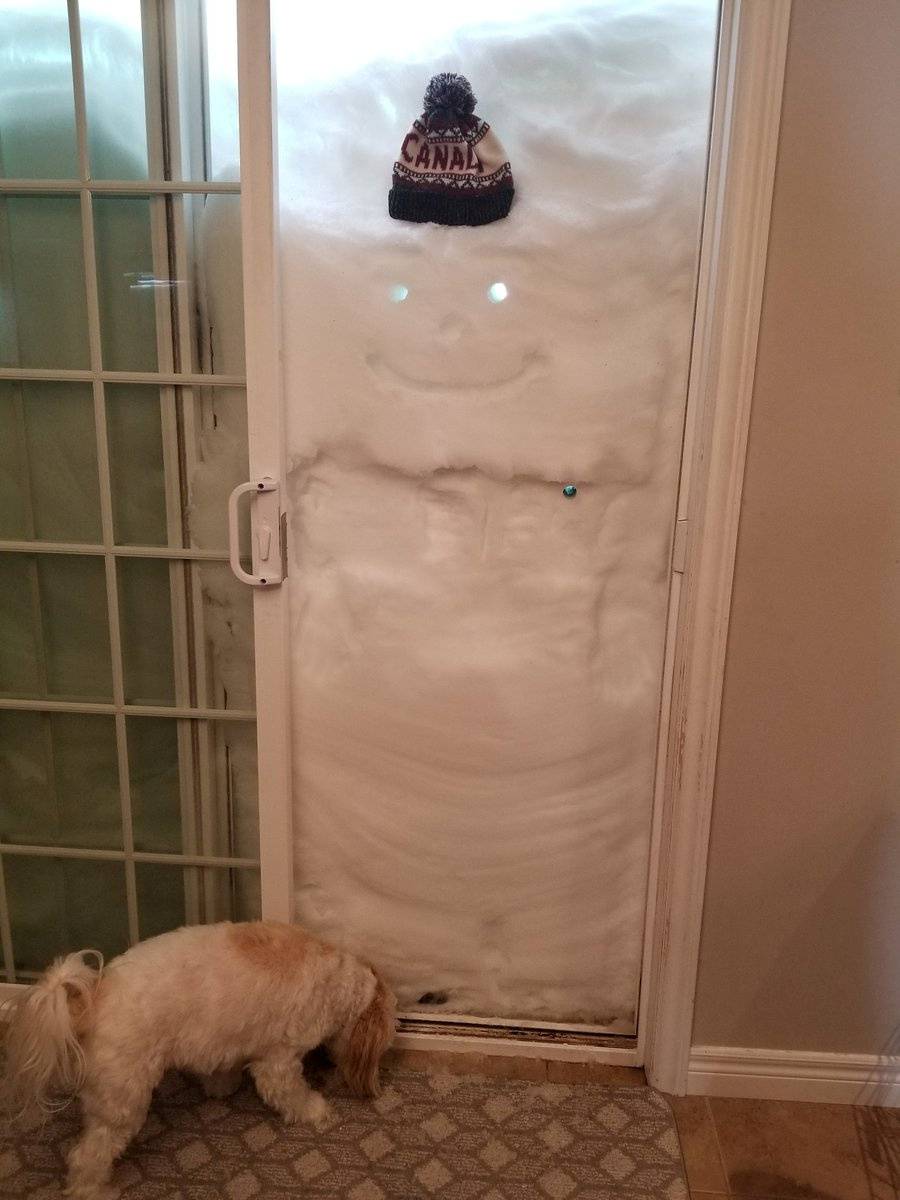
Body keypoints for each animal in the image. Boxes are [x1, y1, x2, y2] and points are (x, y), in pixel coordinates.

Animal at [0, 921, 393, 1195]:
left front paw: (222, 1086)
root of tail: (92, 1000)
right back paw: (93, 1190)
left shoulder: (225, 1039)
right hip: (122, 1101)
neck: (338, 980)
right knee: (87, 1156)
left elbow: (222, 1067)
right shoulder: (278, 1061)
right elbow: (289, 1092)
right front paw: (315, 1109)